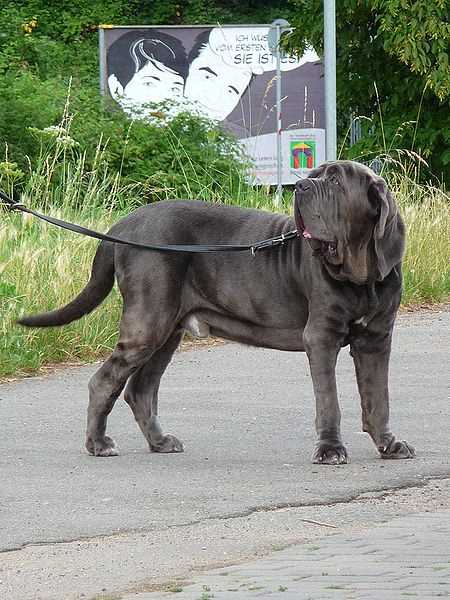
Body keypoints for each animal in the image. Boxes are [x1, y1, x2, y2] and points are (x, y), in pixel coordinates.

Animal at [19, 160, 415, 464]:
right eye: (315, 174)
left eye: (334, 181)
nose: (301, 185)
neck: (361, 276)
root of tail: (123, 226)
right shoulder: (322, 336)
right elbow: (329, 400)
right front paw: (330, 449)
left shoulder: (377, 339)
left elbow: (378, 397)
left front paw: (389, 444)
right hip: (148, 323)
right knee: (105, 381)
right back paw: (98, 444)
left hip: (168, 330)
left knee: (141, 389)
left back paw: (160, 442)